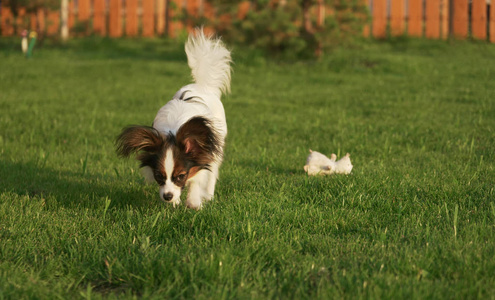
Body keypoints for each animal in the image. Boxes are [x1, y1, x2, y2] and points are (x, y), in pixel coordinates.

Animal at [116, 29, 232, 210]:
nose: (167, 196)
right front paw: (175, 202)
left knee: (213, 172)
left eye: (181, 176)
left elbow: (197, 180)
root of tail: (201, 86)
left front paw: (194, 203)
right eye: (159, 176)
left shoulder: (203, 155)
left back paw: (209, 196)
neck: (174, 132)